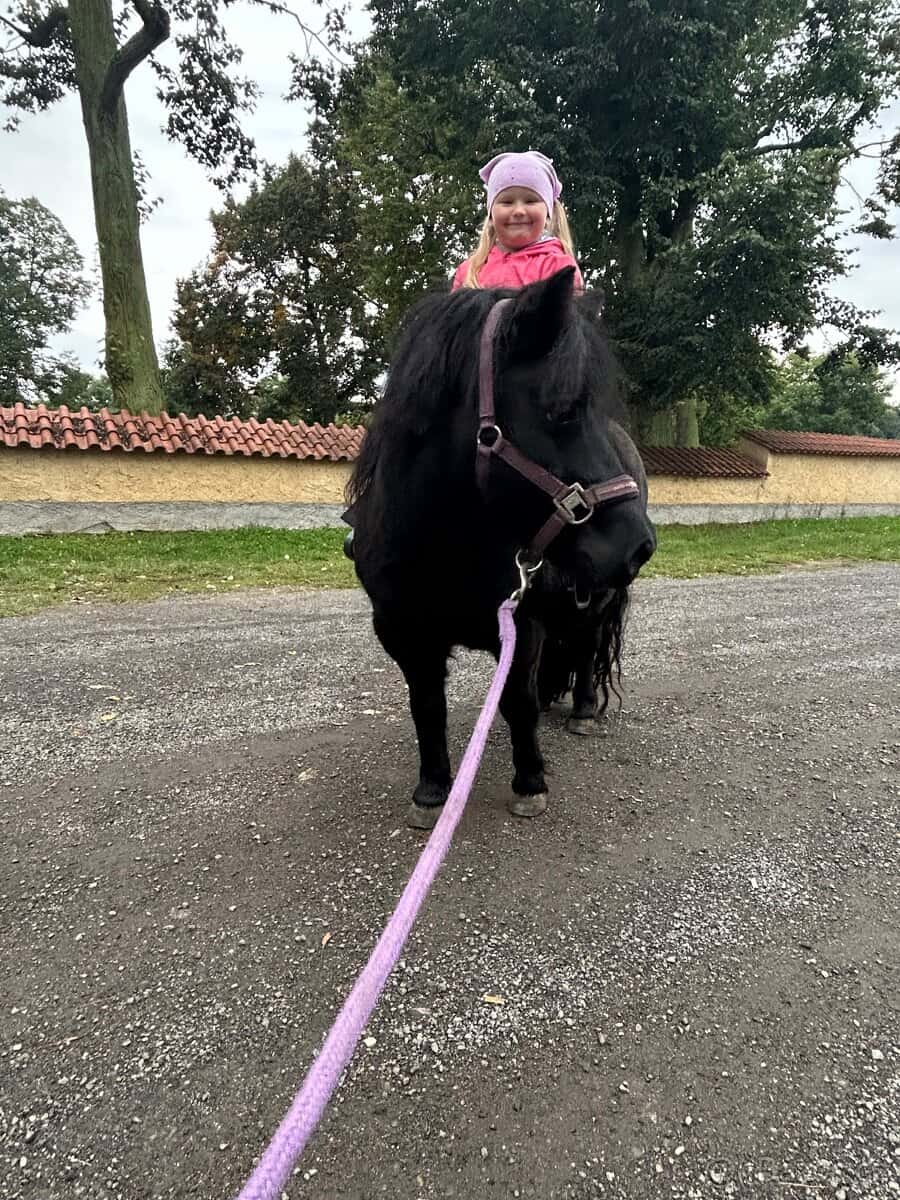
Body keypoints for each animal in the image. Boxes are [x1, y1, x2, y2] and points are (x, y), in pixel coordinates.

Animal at [346, 267, 656, 828]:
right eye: (561, 411)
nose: (639, 545)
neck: (442, 549)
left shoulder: (521, 624)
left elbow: (517, 701)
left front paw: (530, 781)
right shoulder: (403, 633)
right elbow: (427, 705)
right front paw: (432, 789)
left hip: (596, 596)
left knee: (586, 644)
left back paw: (581, 710)